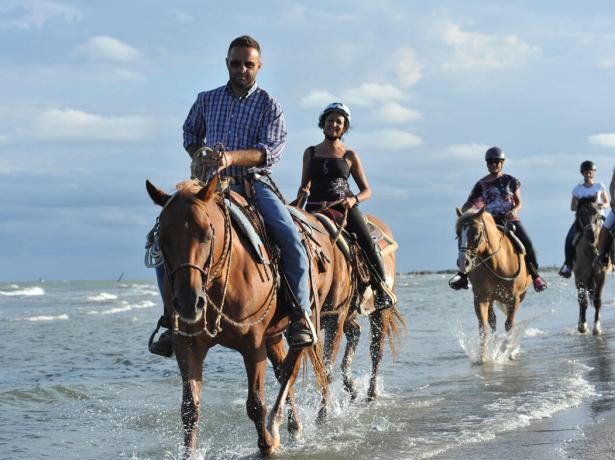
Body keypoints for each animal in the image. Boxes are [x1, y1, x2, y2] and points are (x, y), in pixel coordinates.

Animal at [145, 178, 336, 454]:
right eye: (162, 239)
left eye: (206, 234)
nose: (189, 303)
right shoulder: (187, 344)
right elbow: (190, 408)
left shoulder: (252, 344)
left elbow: (255, 403)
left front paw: (266, 446)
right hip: (273, 335)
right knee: (282, 369)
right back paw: (292, 426)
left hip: (307, 316)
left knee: (291, 367)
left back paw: (276, 423)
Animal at [316, 214, 406, 400]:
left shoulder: (334, 317)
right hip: (349, 315)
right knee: (355, 332)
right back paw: (352, 388)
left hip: (380, 312)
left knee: (376, 350)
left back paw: (371, 394)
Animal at [454, 207, 532, 362]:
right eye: (458, 233)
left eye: (476, 233)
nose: (463, 262)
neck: (497, 263)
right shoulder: (481, 298)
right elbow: (483, 327)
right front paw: (484, 356)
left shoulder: (514, 299)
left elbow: (509, 324)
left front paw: (505, 350)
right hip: (491, 300)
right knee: (493, 321)